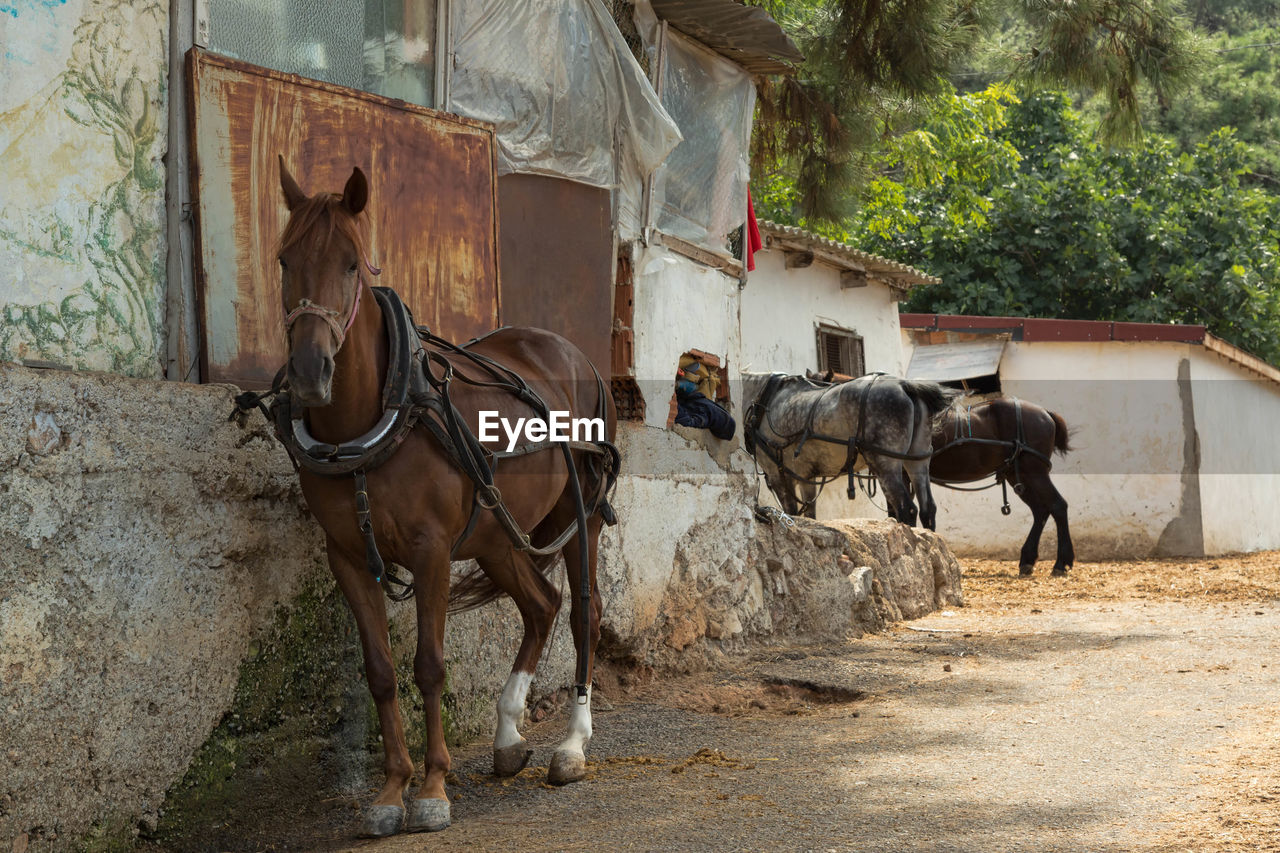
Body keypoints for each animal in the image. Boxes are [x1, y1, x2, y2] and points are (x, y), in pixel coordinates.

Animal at [267, 161, 616, 835]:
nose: (309, 372)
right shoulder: (347, 557)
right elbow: (381, 673)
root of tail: (575, 355)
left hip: (578, 515)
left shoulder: (430, 551)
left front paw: (431, 789)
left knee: (583, 613)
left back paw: (572, 745)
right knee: (542, 606)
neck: (378, 416)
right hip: (495, 532)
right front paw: (389, 791)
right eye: (283, 259)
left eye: (351, 263)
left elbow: (428, 665)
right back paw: (507, 736)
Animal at [742, 371, 962, 527]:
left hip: (884, 464)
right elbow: (810, 515)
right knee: (927, 509)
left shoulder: (777, 474)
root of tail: (904, 385)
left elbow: (791, 513)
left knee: (906, 509)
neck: (763, 400)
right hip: (917, 461)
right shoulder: (806, 477)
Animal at [926, 397, 1075, 571]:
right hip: (1019, 475)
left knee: (1058, 506)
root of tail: (1045, 413)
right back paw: (1028, 559)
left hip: (1035, 472)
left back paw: (1062, 562)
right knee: (1040, 510)